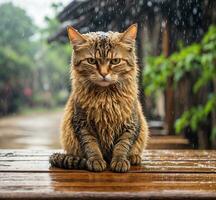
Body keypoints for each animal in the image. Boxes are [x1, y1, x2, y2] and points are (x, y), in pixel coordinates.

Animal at [49, 24, 149, 173]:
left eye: (115, 61)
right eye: (91, 61)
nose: (103, 74)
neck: (105, 96)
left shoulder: (130, 124)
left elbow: (122, 145)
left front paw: (119, 161)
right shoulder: (82, 124)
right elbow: (91, 145)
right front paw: (96, 160)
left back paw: (134, 157)